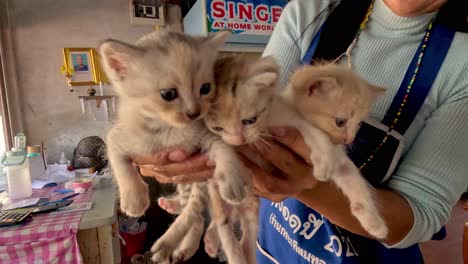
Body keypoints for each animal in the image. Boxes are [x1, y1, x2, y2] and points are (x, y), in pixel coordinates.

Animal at [100, 29, 250, 264]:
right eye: (168, 94)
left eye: (205, 88)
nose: (194, 113)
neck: (168, 131)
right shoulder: (117, 135)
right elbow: (119, 162)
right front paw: (134, 198)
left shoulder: (207, 136)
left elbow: (225, 150)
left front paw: (232, 181)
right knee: (192, 212)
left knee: (195, 214)